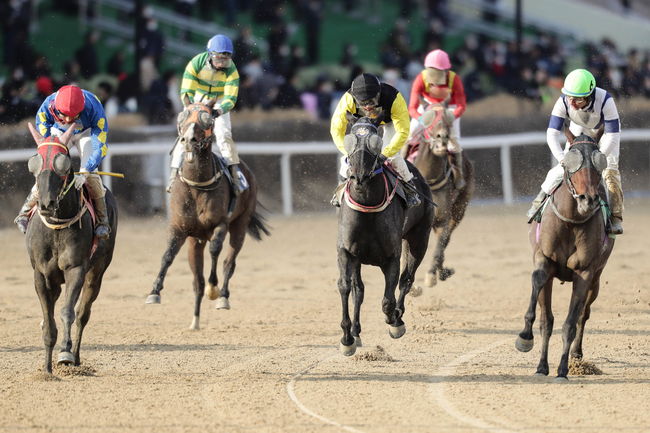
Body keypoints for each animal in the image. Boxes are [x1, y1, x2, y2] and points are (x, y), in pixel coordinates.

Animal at [336, 115, 432, 354]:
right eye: (350, 138)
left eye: (375, 142)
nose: (359, 174)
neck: (367, 207)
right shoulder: (347, 252)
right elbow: (346, 287)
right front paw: (347, 338)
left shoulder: (391, 257)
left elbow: (388, 299)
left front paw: (394, 322)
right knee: (358, 289)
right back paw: (356, 332)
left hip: (419, 239)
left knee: (407, 279)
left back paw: (398, 317)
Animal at [408, 104, 474, 286]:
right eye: (429, 119)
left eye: (447, 119)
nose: (442, 138)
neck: (429, 179)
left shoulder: (443, 218)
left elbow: (440, 245)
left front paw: (431, 275)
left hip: (459, 209)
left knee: (446, 239)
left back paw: (442, 271)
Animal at [512, 133, 616, 380]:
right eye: (570, 163)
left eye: (599, 163)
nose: (588, 199)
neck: (571, 221)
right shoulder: (544, 259)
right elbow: (545, 316)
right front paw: (532, 351)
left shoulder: (585, 272)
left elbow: (570, 322)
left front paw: (562, 369)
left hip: (597, 279)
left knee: (583, 314)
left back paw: (576, 354)